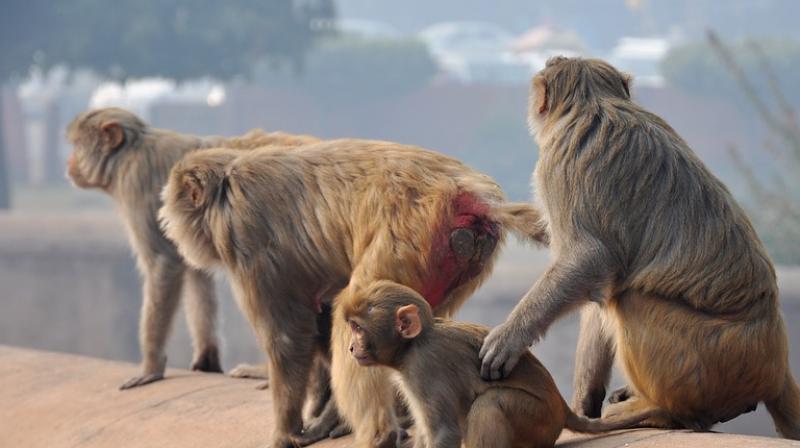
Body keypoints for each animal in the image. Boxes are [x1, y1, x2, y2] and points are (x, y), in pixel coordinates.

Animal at [65, 107, 320, 389]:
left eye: (77, 144)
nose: (69, 162)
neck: (129, 152)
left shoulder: (136, 185)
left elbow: (163, 263)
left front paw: (151, 367)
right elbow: (196, 271)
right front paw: (207, 359)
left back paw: (267, 371)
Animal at [158, 141, 548, 448]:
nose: (166, 221)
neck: (228, 184)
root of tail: (469, 195)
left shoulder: (246, 238)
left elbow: (287, 337)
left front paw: (284, 432)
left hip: (408, 235)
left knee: (355, 306)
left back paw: (377, 433)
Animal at [343, 281, 660, 448]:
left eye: (357, 328)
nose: (351, 347)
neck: (412, 345)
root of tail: (561, 407)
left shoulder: (424, 367)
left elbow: (445, 431)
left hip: (537, 420)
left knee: (490, 402)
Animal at [478, 56, 800, 439]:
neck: (594, 101)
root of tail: (775, 366)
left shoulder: (559, 162)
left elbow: (588, 259)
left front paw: (509, 338)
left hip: (713, 363)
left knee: (628, 298)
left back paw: (665, 411)